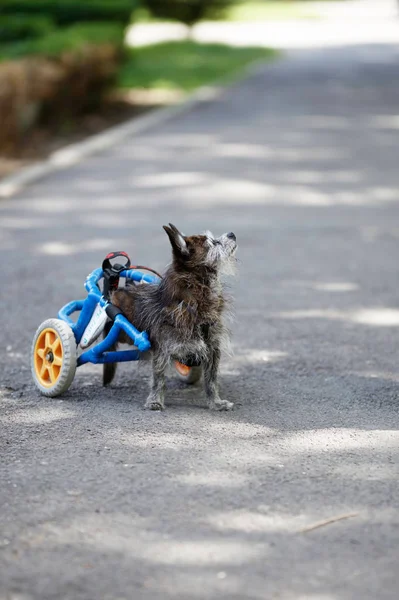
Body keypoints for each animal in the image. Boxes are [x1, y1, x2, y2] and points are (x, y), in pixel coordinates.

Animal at [104, 223, 239, 410]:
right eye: (213, 242)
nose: (232, 234)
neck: (193, 300)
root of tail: (116, 291)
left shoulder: (211, 348)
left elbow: (211, 380)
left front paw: (215, 402)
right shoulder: (162, 349)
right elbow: (159, 379)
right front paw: (155, 400)